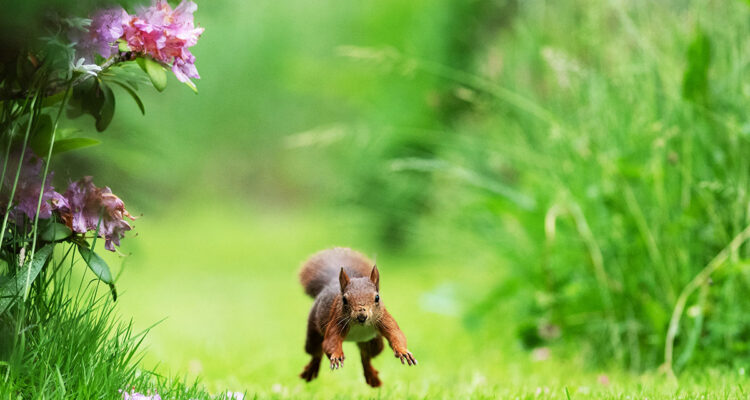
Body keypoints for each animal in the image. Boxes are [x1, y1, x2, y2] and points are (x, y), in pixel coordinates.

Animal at [298, 247, 417, 387]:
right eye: (344, 300)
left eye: (377, 297)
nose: (361, 316)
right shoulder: (337, 320)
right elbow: (330, 342)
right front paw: (336, 355)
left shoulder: (383, 318)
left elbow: (396, 334)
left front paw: (403, 351)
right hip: (313, 333)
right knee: (316, 351)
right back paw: (311, 370)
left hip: (373, 343)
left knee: (366, 356)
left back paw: (371, 376)